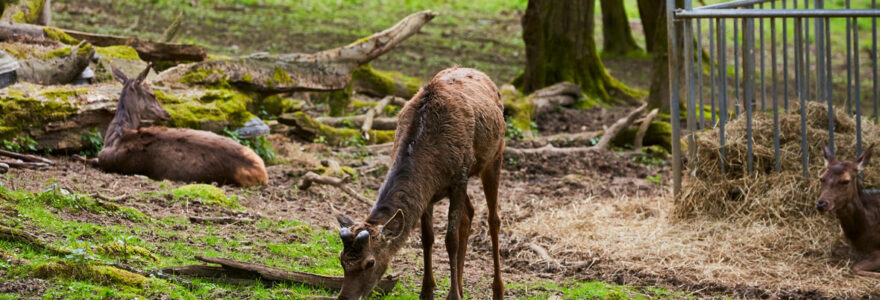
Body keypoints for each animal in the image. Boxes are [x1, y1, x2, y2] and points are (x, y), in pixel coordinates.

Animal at [334, 67, 506, 298]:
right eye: (341, 259)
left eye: (370, 262)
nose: (345, 297)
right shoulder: (429, 192)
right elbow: (427, 238)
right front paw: (427, 292)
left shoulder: (459, 179)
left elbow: (450, 240)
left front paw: (453, 296)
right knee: (468, 214)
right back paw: (461, 287)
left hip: (494, 157)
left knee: (493, 219)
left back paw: (497, 290)